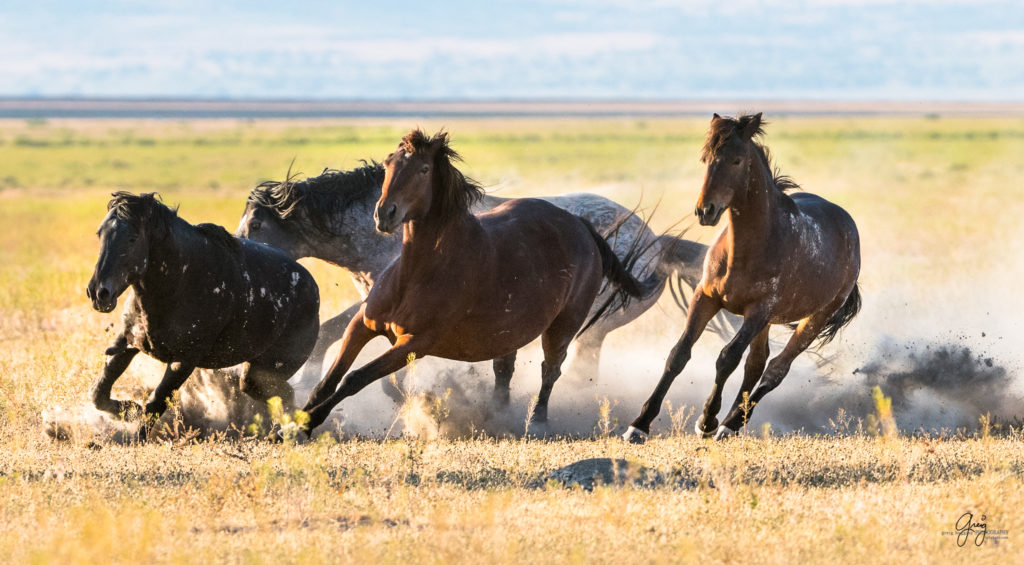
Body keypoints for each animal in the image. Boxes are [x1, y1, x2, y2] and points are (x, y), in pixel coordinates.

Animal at [88, 189, 319, 427]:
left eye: (132, 238)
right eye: (100, 233)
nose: (99, 293)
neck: (179, 283)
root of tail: (313, 289)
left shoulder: (183, 362)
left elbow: (154, 404)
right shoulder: (128, 342)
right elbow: (99, 392)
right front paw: (127, 409)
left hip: (264, 372)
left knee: (284, 396)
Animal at [301, 131, 655, 431]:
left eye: (424, 169)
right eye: (389, 164)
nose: (384, 214)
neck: (416, 274)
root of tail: (581, 226)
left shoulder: (414, 343)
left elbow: (354, 378)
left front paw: (310, 422)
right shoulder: (363, 323)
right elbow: (329, 379)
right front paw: (297, 419)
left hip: (564, 325)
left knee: (550, 369)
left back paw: (536, 421)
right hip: (511, 331)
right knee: (505, 371)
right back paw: (498, 414)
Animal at [618, 112, 860, 444]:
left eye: (737, 160)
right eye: (706, 159)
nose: (705, 211)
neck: (746, 249)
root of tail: (847, 224)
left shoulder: (758, 312)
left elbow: (727, 358)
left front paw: (707, 420)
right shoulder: (705, 298)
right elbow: (679, 354)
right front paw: (639, 424)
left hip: (814, 318)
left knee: (775, 369)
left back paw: (730, 423)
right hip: (767, 323)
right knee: (756, 364)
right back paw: (731, 420)